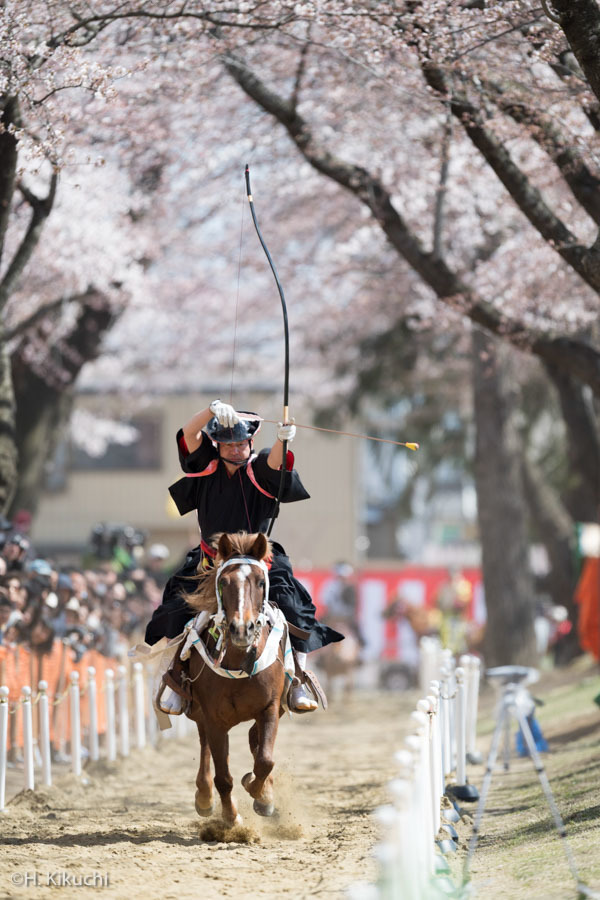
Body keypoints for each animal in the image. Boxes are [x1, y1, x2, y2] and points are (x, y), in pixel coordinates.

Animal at [181, 531, 290, 826]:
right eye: (224, 582)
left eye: (261, 582)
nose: (242, 629)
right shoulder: (213, 717)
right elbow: (223, 777)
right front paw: (231, 818)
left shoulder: (270, 707)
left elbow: (265, 760)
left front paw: (261, 795)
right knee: (205, 745)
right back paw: (204, 796)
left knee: (255, 741)